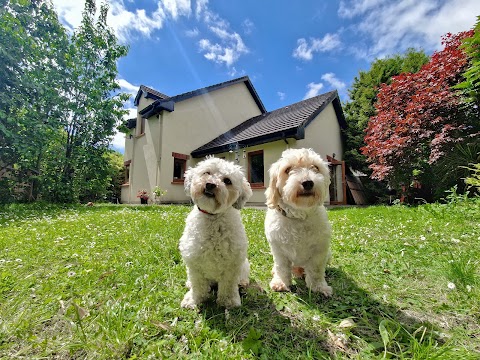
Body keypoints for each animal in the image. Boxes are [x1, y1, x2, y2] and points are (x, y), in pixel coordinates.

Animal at [179, 156, 253, 308]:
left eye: (227, 181)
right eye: (207, 172)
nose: (210, 185)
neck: (213, 217)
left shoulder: (232, 264)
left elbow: (228, 285)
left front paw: (228, 301)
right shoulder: (194, 262)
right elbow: (198, 285)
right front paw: (194, 299)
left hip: (244, 264)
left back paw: (242, 282)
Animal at [262, 148, 334, 296]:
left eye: (315, 167)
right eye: (288, 169)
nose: (307, 182)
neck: (298, 216)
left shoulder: (320, 250)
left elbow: (316, 270)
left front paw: (319, 287)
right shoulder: (279, 251)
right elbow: (282, 268)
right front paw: (281, 282)